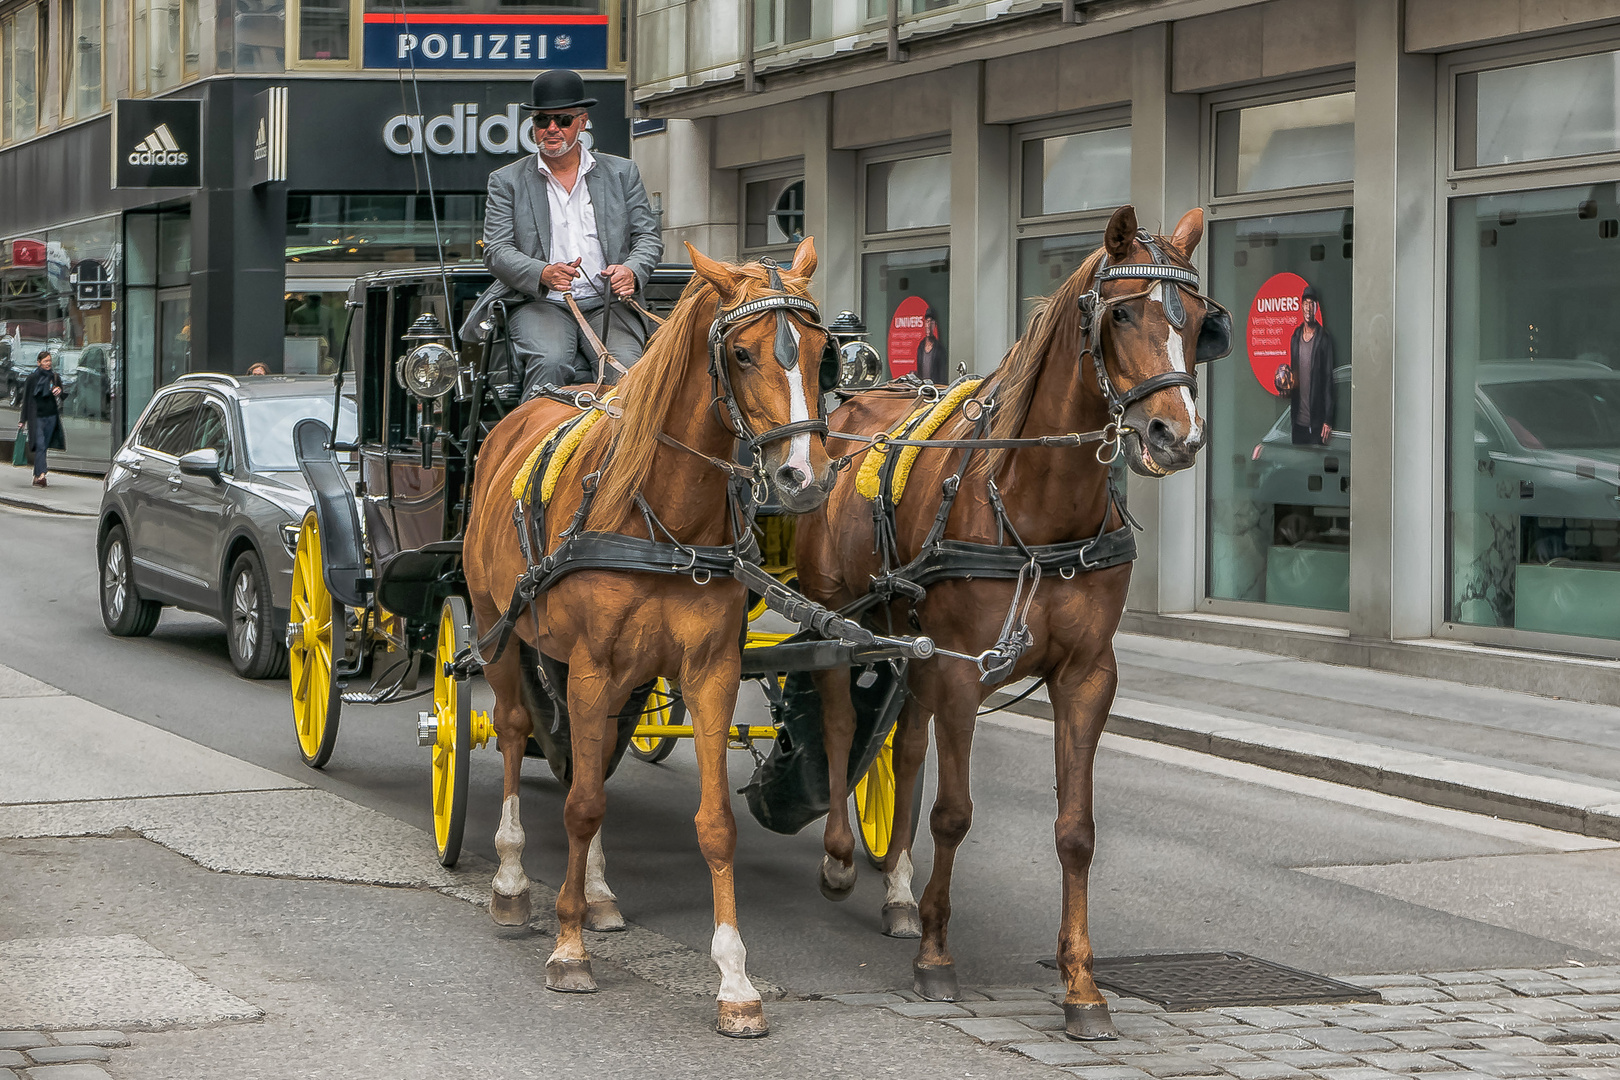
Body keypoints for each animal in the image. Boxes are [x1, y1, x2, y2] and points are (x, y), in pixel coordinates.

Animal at [460, 238, 829, 1036]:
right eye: (743, 354)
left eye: (825, 352)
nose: (803, 478)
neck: (666, 515)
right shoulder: (591, 663)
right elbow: (581, 804)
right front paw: (567, 948)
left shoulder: (709, 671)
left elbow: (712, 822)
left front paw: (734, 980)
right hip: (495, 627)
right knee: (514, 732)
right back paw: (512, 879)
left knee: (586, 759)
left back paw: (598, 893)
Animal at [790, 202, 1218, 1036]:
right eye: (1122, 313)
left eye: (1200, 317)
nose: (1175, 436)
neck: (1036, 502)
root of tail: (851, 406)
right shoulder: (963, 670)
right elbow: (954, 814)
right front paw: (936, 957)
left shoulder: (1086, 677)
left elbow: (1076, 832)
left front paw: (1081, 985)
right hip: (837, 619)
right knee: (840, 725)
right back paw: (839, 859)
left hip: (906, 639)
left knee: (905, 748)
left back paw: (898, 890)